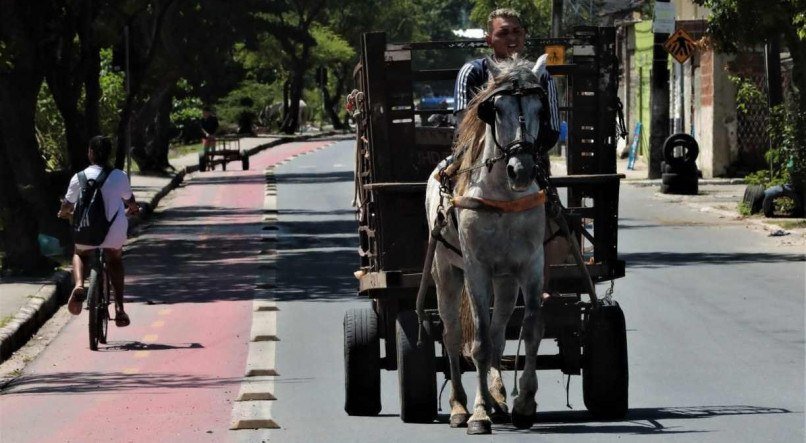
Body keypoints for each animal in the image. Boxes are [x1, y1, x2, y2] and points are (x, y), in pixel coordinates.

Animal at [426, 56, 552, 438]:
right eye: (495, 109)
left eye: (540, 107)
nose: (521, 170)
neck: (502, 194)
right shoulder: (476, 269)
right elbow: (478, 343)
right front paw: (479, 414)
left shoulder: (530, 265)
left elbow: (530, 329)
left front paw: (524, 403)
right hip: (447, 273)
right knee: (453, 335)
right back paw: (460, 406)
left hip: (506, 281)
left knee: (498, 332)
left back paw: (497, 397)